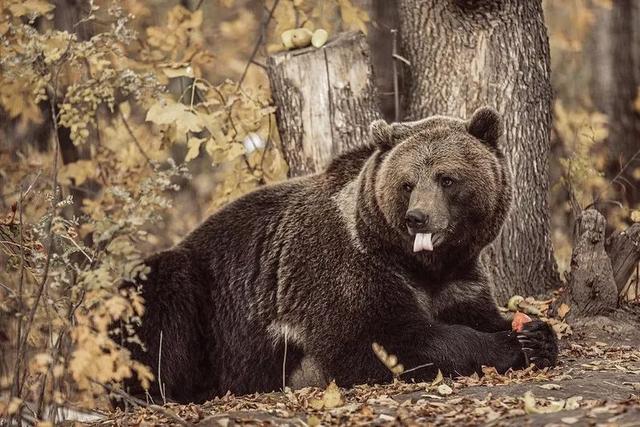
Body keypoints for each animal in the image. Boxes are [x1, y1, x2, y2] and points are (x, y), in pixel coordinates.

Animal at [122, 106, 556, 404]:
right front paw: (505, 346)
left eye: (447, 178)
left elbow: (481, 311)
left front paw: (535, 335)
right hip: (196, 291)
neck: (418, 263)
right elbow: (381, 340)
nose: (418, 217)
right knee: (161, 307)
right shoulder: (347, 268)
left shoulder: (458, 278)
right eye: (407, 183)